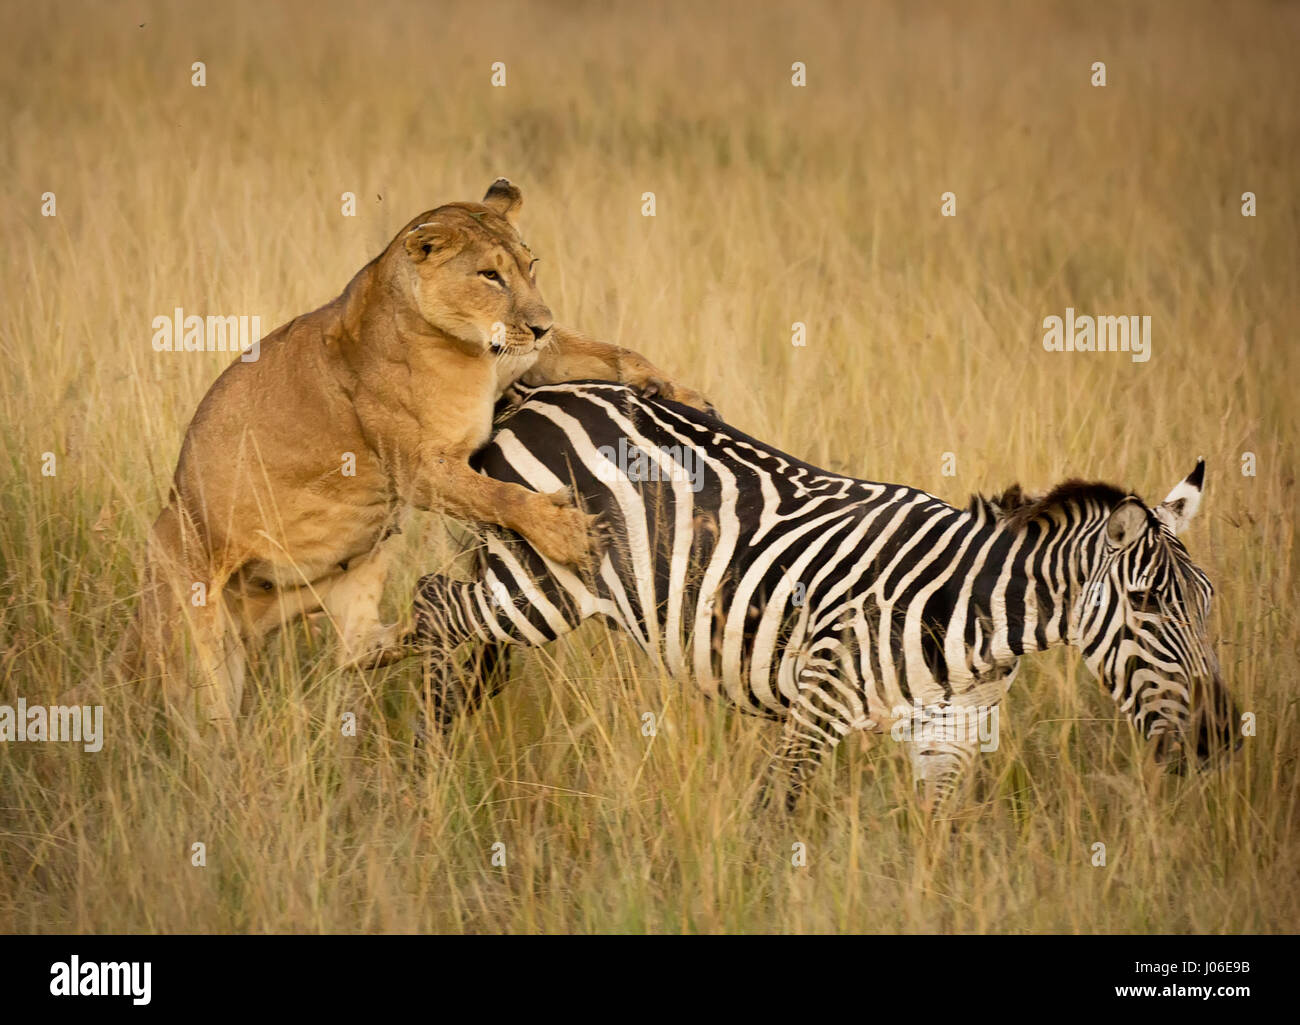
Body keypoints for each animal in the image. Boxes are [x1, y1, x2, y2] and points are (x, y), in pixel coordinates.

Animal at [416, 382, 1237, 806]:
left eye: (1206, 605)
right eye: (1148, 606)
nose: (1221, 739)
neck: (979, 620)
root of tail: (540, 390)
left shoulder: (952, 737)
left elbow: (936, 848)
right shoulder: (820, 697)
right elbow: (777, 811)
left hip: (519, 581)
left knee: (468, 642)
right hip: (544, 583)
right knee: (432, 603)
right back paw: (424, 764)